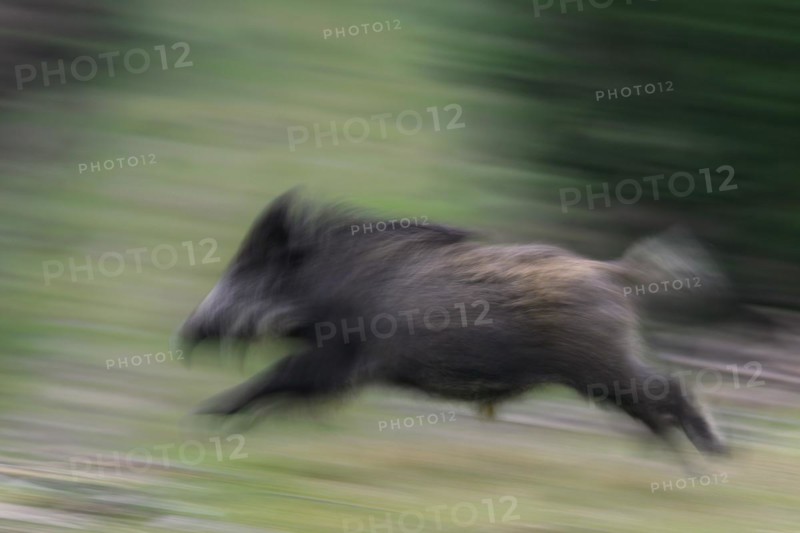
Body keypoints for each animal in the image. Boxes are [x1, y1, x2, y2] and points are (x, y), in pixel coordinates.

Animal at [175, 191, 727, 457]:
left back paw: (713, 455)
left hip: (602, 365)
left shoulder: (339, 361)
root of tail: (615, 272)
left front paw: (206, 417)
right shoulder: (336, 372)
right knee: (656, 405)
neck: (323, 287)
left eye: (248, 272)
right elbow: (285, 393)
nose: (186, 333)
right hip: (602, 370)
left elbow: (275, 379)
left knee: (668, 390)